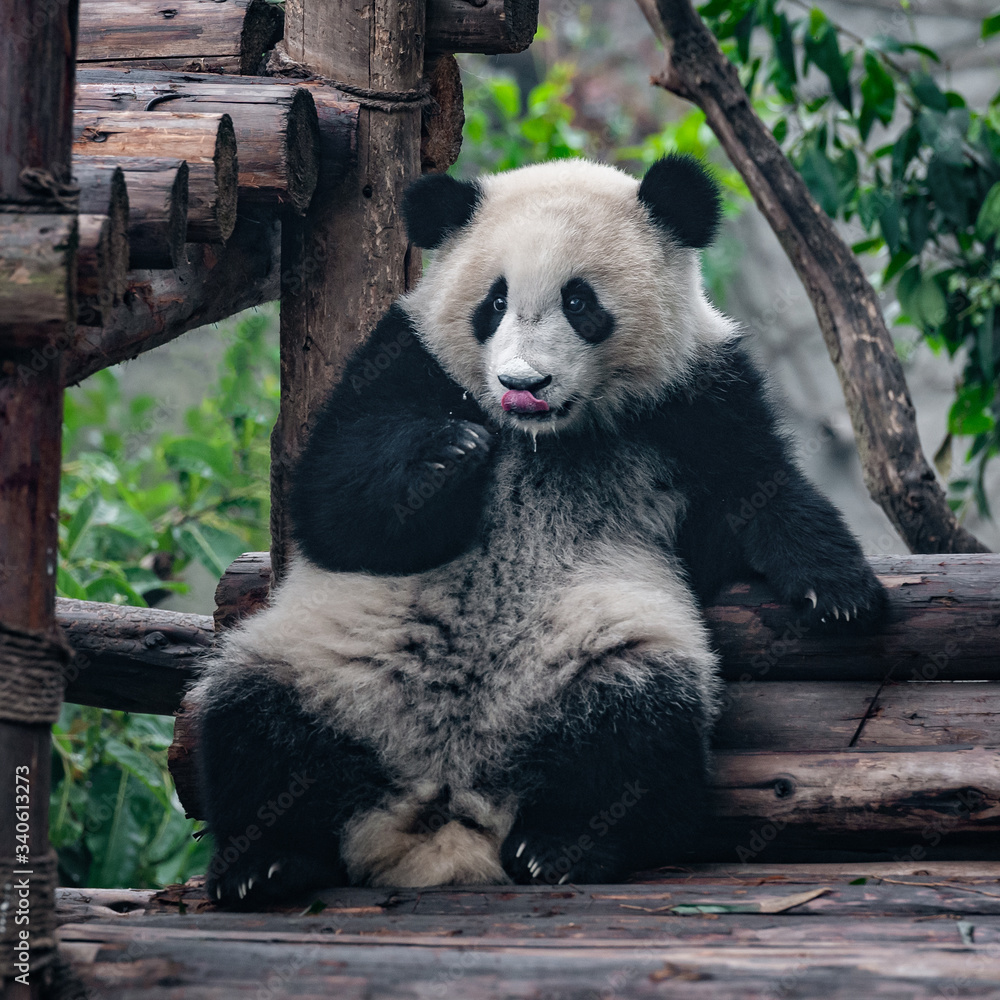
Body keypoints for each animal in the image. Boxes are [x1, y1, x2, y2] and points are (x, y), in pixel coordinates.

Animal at [193, 155, 886, 905]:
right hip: (325, 665)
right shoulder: (402, 359)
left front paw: (840, 594)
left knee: (638, 731)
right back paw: (265, 863)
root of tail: (444, 807)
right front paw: (450, 456)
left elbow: (757, 490)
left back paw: (564, 844)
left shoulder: (696, 395)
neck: (542, 439)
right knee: (251, 724)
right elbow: (336, 506)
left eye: (580, 303)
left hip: (594, 657)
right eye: (493, 303)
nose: (522, 383)